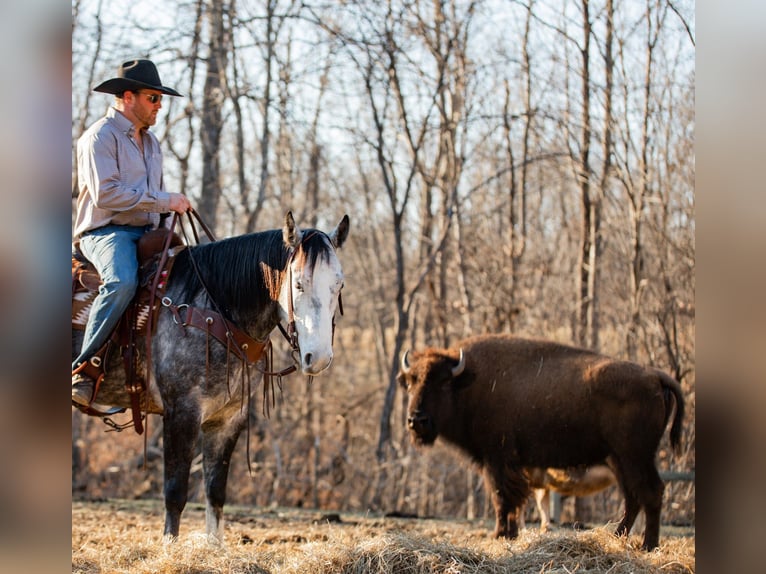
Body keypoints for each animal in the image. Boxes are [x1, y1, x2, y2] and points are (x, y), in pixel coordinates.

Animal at [72, 211, 349, 541]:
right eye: (298, 284)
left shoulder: (228, 419)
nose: (318, 358)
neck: (211, 311)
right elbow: (175, 493)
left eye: (339, 285)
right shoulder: (181, 413)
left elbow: (215, 492)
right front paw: (169, 545)